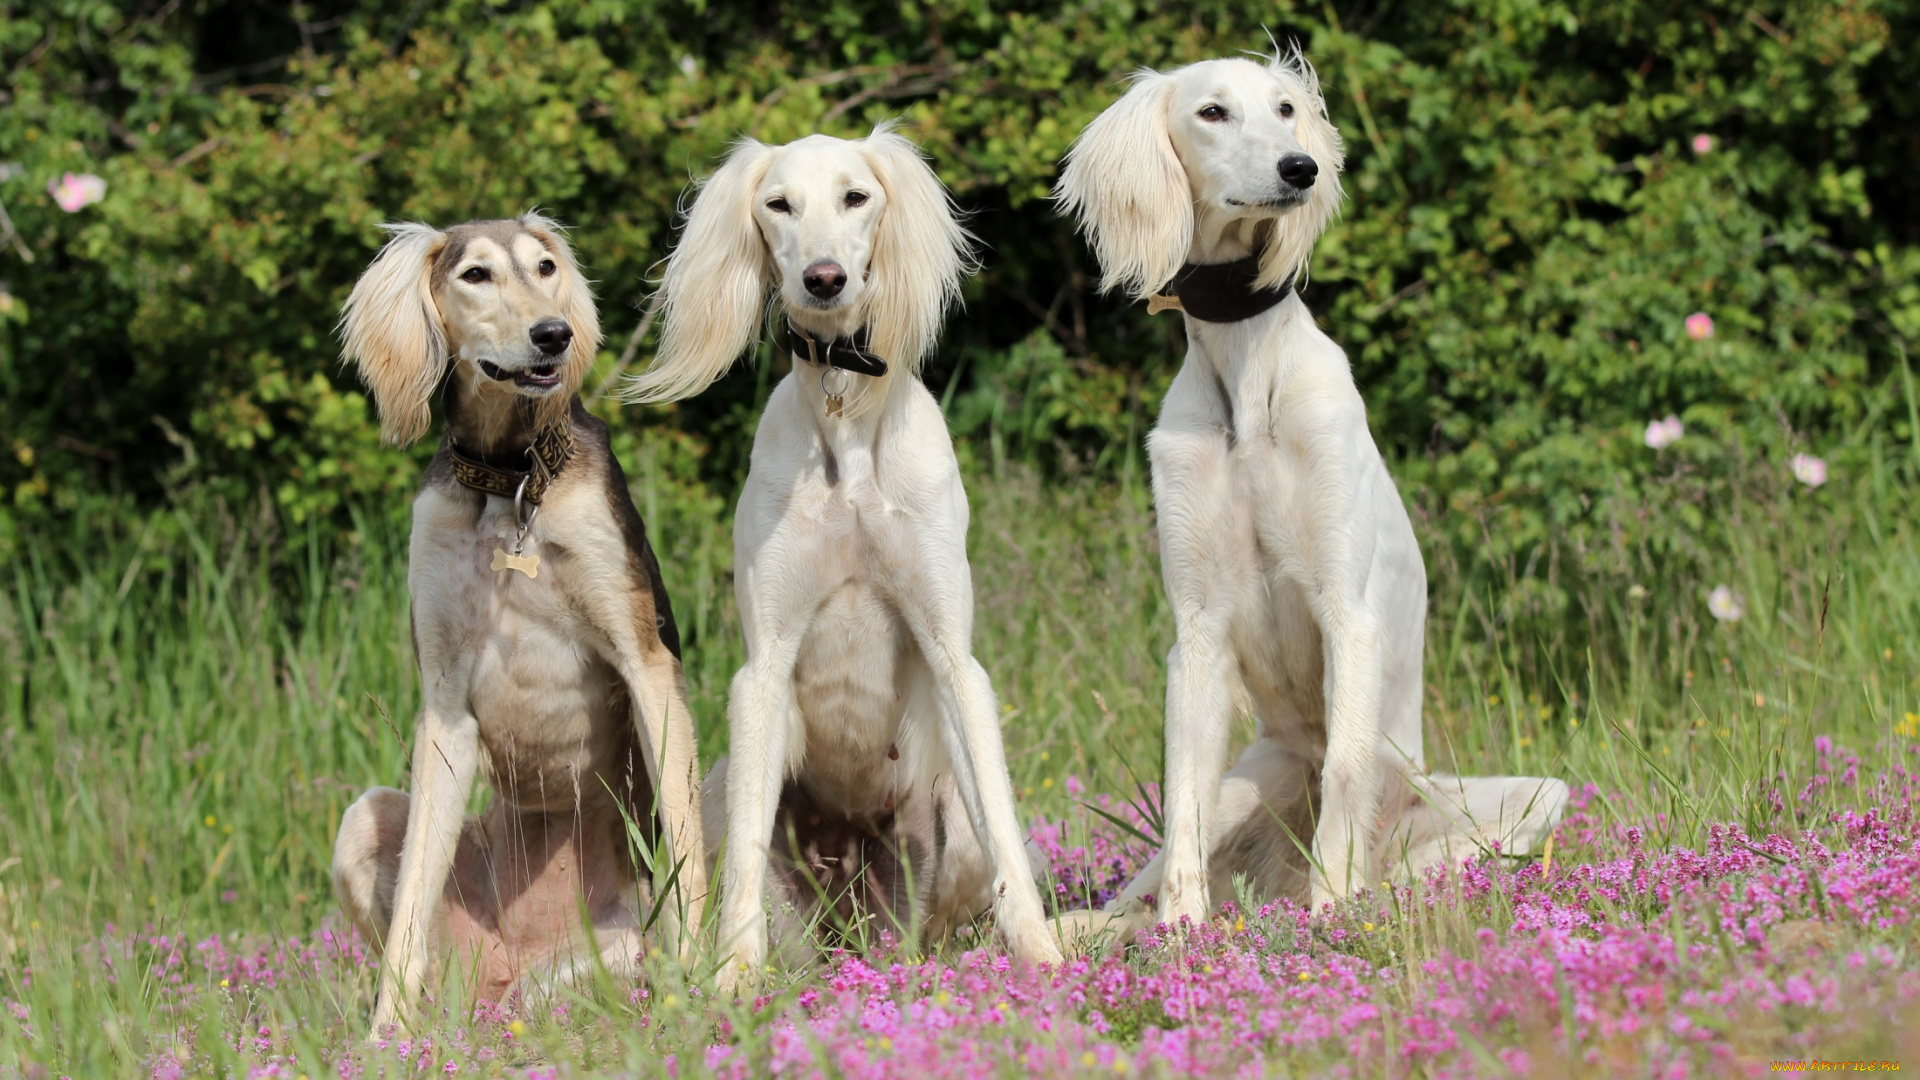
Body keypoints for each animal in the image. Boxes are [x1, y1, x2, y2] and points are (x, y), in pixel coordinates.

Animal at [330, 214, 706, 1030]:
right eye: (475, 275)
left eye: (544, 268)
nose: (553, 334)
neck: (512, 480)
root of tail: (503, 981)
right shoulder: (443, 702)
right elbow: (412, 901)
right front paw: (382, 1036)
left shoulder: (648, 665)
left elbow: (689, 849)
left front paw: (718, 983)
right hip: (367, 828)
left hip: (606, 957)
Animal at [625, 123, 1067, 983]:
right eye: (779, 204)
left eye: (856, 196)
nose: (823, 280)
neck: (844, 408)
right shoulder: (762, 669)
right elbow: (744, 866)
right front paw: (732, 979)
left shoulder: (953, 656)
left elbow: (1003, 830)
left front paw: (1042, 957)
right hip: (723, 796)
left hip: (940, 828)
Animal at [1059, 54, 1566, 922]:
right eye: (1213, 112)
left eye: (1287, 109)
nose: (1301, 169)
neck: (1246, 377)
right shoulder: (1196, 632)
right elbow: (1182, 801)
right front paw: (1182, 932)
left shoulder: (1346, 610)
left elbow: (1347, 777)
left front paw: (1334, 920)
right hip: (1250, 780)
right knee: (1137, 889)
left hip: (1525, 796)